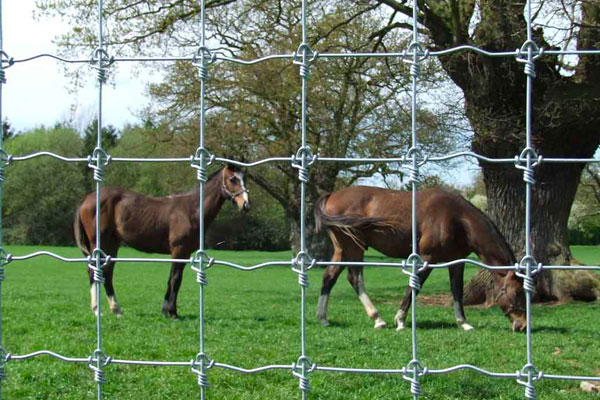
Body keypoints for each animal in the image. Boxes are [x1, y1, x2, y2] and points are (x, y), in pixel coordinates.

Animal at [74, 164, 250, 318]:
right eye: (232, 179)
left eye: (244, 179)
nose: (246, 205)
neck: (192, 210)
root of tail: (87, 199)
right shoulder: (179, 251)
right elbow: (176, 280)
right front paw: (173, 312)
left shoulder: (182, 253)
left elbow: (170, 280)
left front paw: (165, 310)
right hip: (99, 243)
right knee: (94, 271)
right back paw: (97, 310)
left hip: (112, 245)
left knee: (107, 273)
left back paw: (116, 310)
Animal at [314, 186, 524, 332]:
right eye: (518, 292)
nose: (522, 325)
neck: (457, 218)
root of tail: (331, 196)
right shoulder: (427, 258)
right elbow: (415, 287)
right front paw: (400, 320)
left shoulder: (456, 262)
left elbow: (456, 291)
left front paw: (463, 323)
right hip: (354, 248)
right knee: (355, 279)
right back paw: (378, 319)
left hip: (342, 251)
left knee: (328, 277)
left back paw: (323, 318)